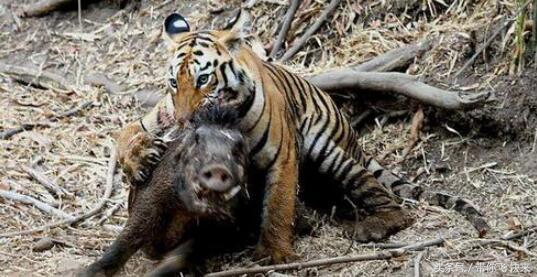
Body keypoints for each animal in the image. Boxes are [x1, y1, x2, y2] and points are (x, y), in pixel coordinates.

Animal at [115, 10, 488, 260]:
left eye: (203, 80)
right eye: (173, 83)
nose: (183, 121)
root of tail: (354, 139)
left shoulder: (281, 154)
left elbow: (278, 205)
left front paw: (274, 254)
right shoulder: (156, 115)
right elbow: (124, 133)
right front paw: (139, 159)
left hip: (330, 153)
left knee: (394, 204)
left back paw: (371, 226)